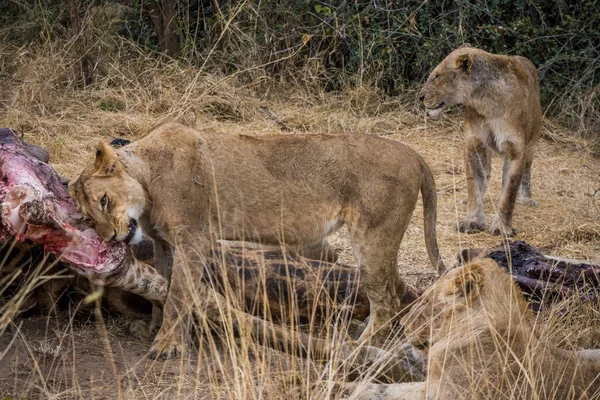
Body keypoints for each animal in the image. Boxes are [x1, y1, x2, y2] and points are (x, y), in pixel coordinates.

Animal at [69, 122, 446, 360]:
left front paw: (168, 346)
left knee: (385, 301)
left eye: (104, 200)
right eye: (88, 218)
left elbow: (178, 295)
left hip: (372, 237)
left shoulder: (193, 239)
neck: (148, 179)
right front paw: (153, 328)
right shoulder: (165, 244)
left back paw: (357, 347)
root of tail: (414, 155)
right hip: (383, 241)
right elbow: (162, 290)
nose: (113, 237)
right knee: (394, 290)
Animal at [420, 46, 540, 238]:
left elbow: (509, 193)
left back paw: (527, 199)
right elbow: (475, 185)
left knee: (526, 172)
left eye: (437, 76)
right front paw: (472, 222)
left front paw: (502, 228)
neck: (486, 102)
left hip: (531, 145)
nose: (420, 97)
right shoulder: (474, 146)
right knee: (486, 174)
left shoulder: (516, 150)